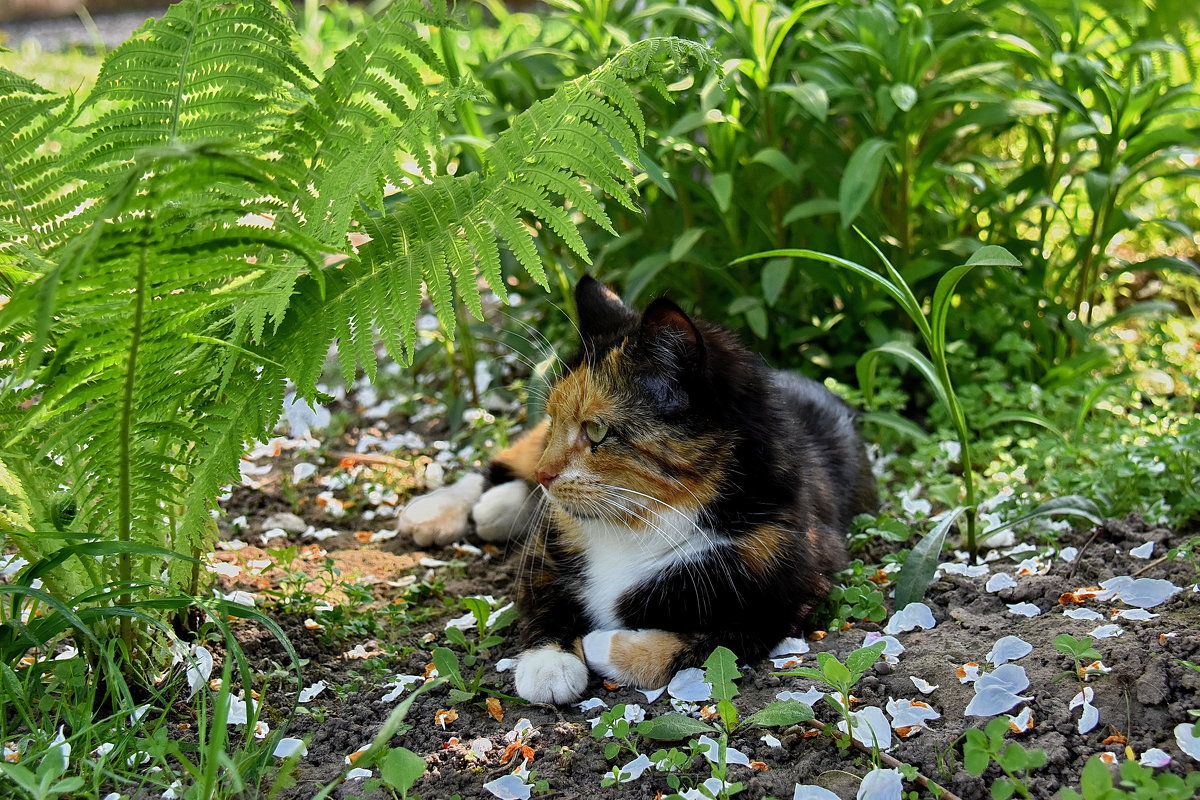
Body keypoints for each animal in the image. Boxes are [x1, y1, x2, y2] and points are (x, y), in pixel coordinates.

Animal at [398, 278, 878, 705]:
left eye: (597, 430)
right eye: (554, 419)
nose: (545, 474)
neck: (640, 520)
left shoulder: (788, 587)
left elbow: (710, 643)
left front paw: (600, 644)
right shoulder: (545, 550)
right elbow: (542, 600)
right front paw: (548, 666)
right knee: (501, 465)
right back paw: (438, 512)